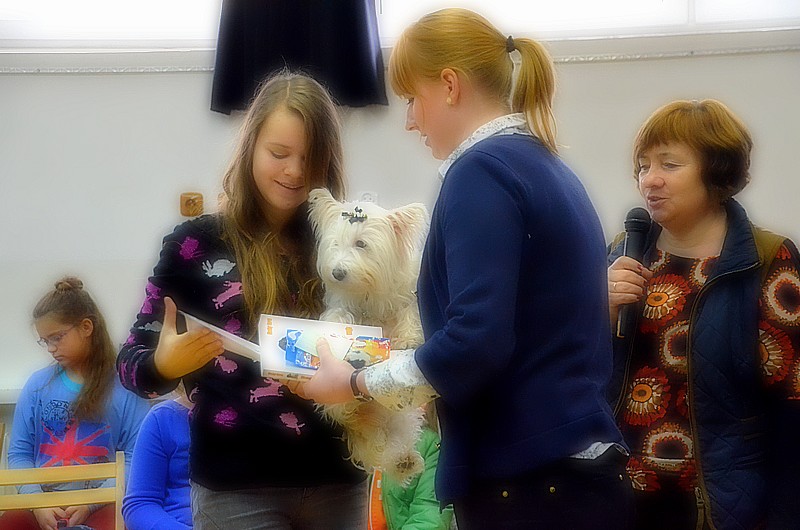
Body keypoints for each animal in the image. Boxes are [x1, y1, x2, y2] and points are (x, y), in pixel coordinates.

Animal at [307, 187, 429, 484]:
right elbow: (338, 317)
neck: (369, 291)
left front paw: (408, 338)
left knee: (394, 439)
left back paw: (405, 461)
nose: (337, 273)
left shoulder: (407, 294)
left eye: (361, 244)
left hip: (400, 417)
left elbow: (410, 311)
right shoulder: (342, 304)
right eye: (335, 243)